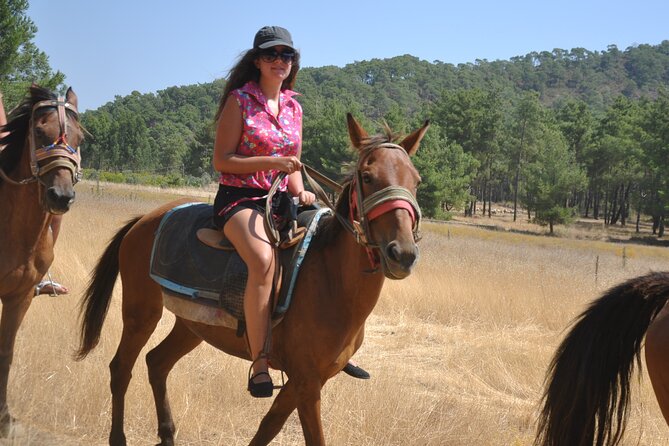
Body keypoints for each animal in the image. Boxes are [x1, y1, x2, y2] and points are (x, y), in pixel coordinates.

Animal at [75, 113, 429, 446]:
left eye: (416, 181)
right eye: (368, 177)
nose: (402, 253)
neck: (331, 282)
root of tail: (143, 221)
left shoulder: (304, 381)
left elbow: (268, 427)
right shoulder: (307, 382)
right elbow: (310, 437)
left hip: (191, 326)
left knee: (156, 363)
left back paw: (167, 434)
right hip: (141, 314)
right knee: (121, 368)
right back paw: (119, 437)